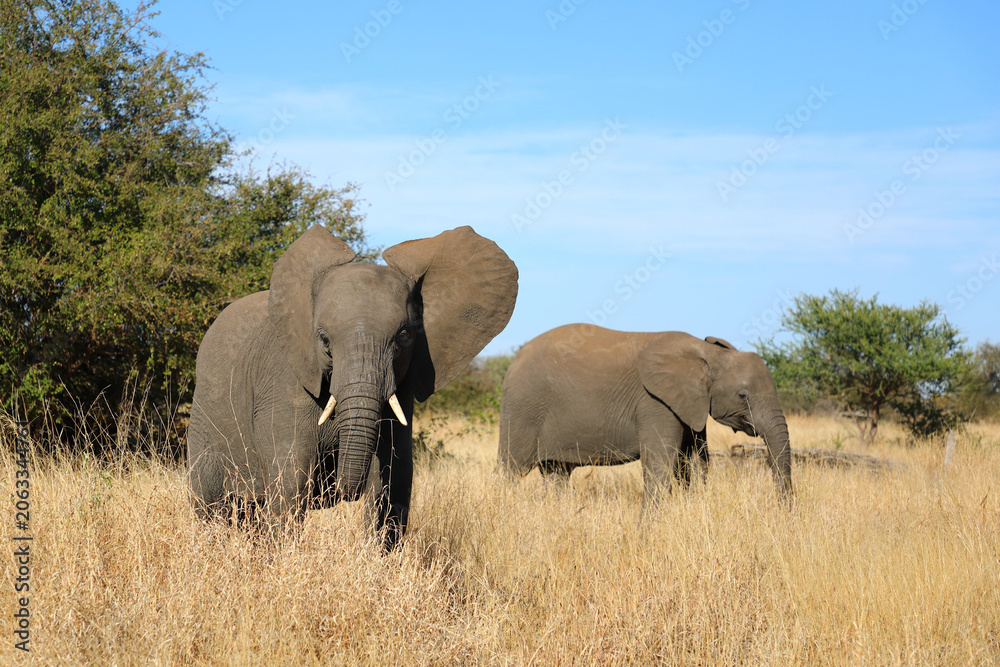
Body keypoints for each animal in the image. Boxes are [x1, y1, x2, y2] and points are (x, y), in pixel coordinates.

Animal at [187, 224, 517, 549]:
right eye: (324, 339)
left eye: (404, 336)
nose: (342, 490)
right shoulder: (285, 377)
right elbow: (291, 475)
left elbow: (395, 475)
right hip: (205, 419)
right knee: (210, 502)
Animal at [498, 324, 792, 508]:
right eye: (743, 395)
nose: (785, 512)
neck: (709, 353)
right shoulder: (655, 402)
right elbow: (660, 465)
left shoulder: (689, 405)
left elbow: (696, 464)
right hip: (523, 408)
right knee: (510, 469)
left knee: (556, 472)